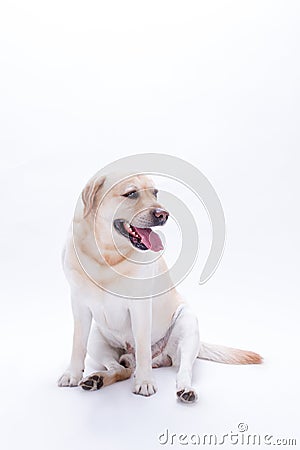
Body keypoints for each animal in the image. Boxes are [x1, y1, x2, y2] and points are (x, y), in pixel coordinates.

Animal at [57, 171, 262, 402]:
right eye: (131, 193)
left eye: (155, 192)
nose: (163, 214)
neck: (106, 254)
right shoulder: (79, 305)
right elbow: (77, 344)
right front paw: (72, 374)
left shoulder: (140, 307)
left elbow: (143, 346)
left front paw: (145, 382)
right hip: (97, 339)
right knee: (121, 368)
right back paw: (97, 378)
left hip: (187, 325)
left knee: (183, 369)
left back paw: (185, 390)